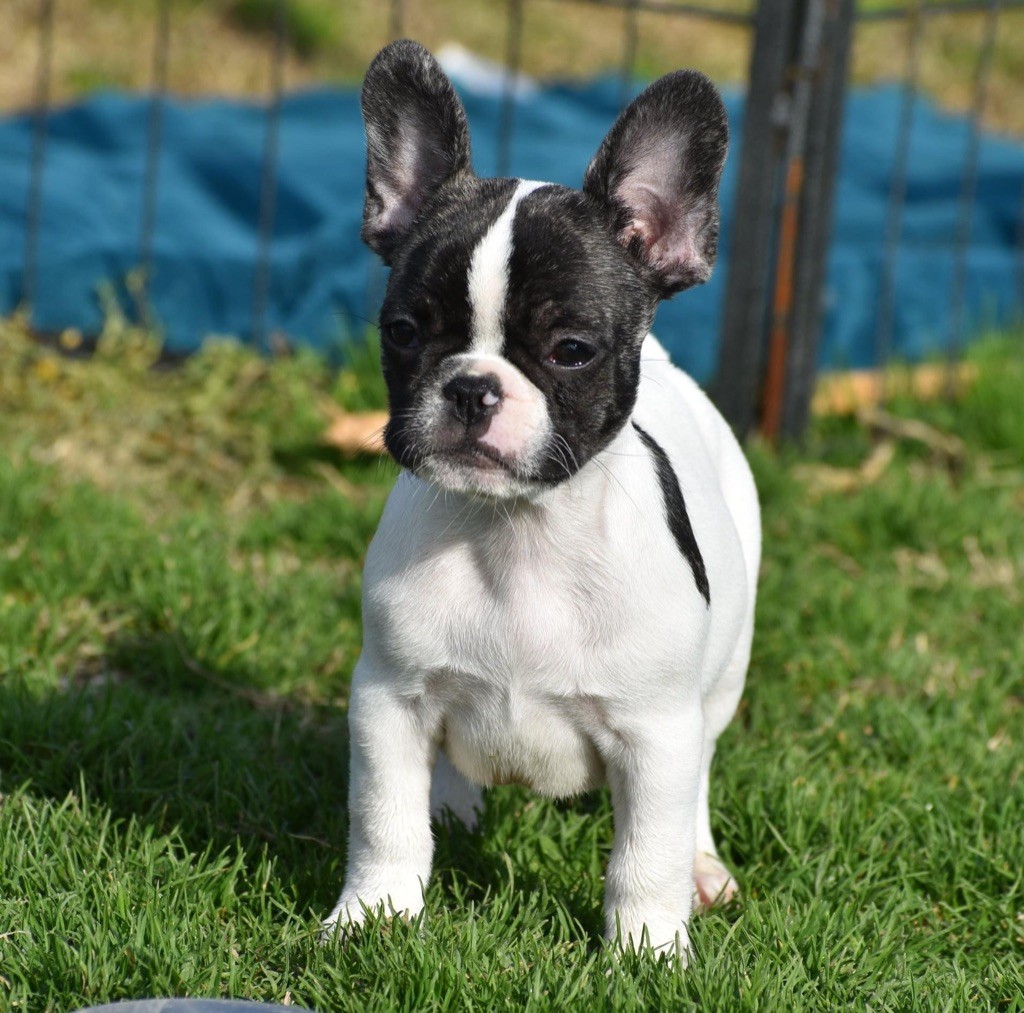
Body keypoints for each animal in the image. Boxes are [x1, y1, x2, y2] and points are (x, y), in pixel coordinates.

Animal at [323, 41, 765, 962]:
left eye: (571, 349)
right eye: (404, 331)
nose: (472, 387)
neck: (517, 535)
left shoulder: (655, 731)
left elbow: (645, 850)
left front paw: (648, 951)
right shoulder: (388, 699)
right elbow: (384, 820)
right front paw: (373, 917)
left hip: (722, 677)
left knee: (702, 772)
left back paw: (702, 866)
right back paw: (453, 808)